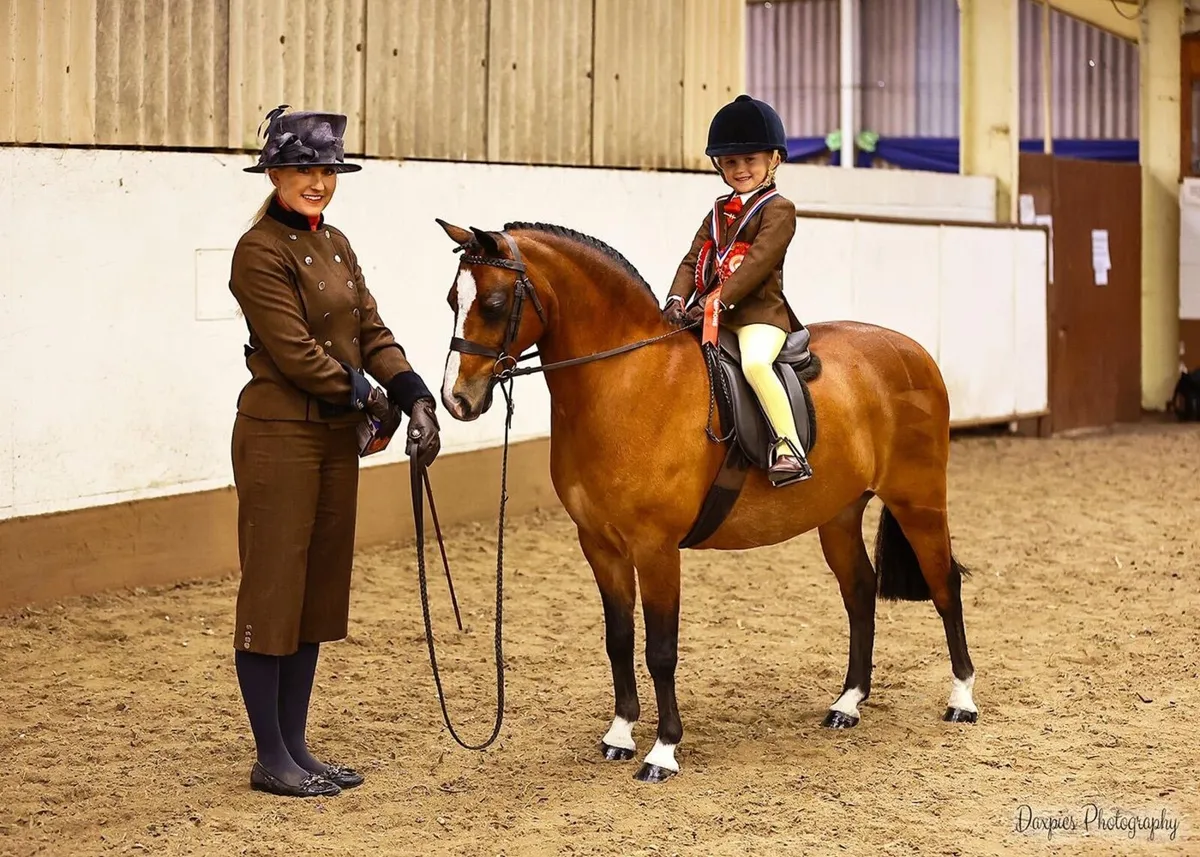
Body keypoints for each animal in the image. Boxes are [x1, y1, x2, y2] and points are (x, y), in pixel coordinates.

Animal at [432, 218, 978, 783]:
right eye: (453, 298)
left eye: (494, 303)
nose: (457, 399)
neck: (627, 381)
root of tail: (912, 350)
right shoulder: (600, 545)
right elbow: (618, 639)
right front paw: (619, 735)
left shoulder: (655, 549)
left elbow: (661, 650)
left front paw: (662, 750)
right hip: (839, 515)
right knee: (860, 592)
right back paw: (847, 704)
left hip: (919, 501)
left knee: (945, 585)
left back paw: (961, 699)